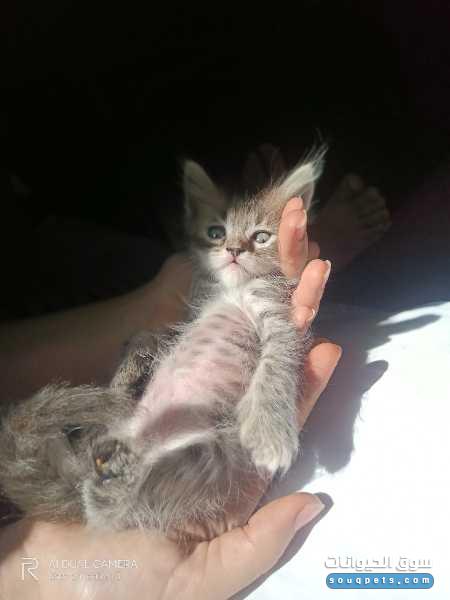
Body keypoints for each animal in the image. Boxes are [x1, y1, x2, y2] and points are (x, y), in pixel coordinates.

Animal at [0, 149, 324, 546]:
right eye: (216, 233)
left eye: (260, 237)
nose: (233, 250)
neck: (234, 289)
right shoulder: (193, 310)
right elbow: (154, 335)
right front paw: (136, 354)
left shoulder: (279, 322)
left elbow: (276, 368)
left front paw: (270, 434)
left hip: (214, 459)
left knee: (132, 499)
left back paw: (111, 481)